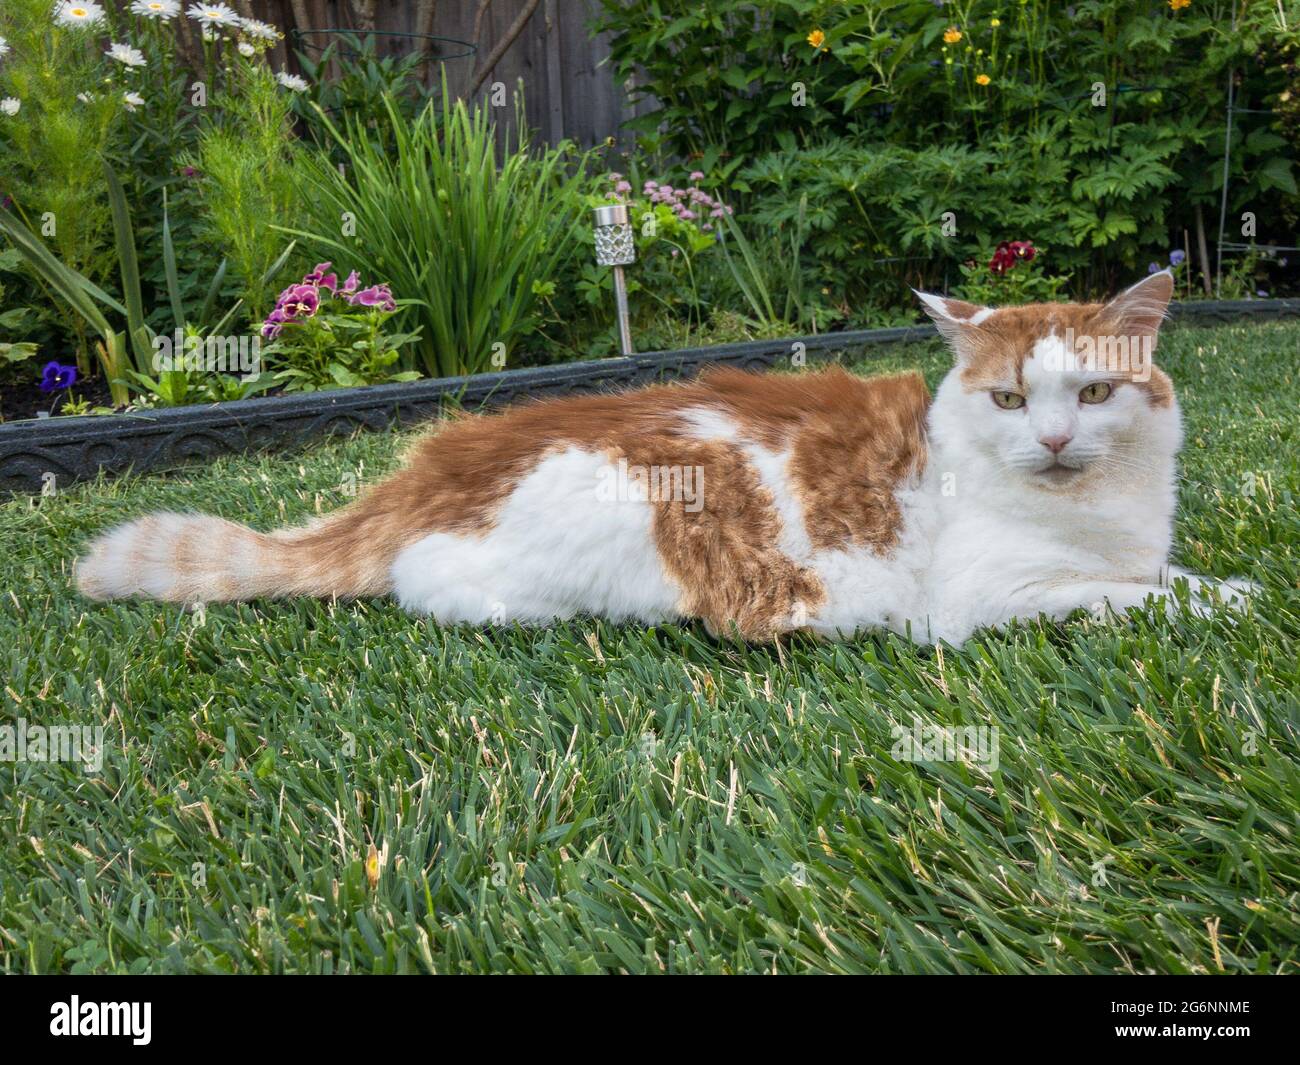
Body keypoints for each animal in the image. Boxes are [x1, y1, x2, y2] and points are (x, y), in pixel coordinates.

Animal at [73, 270, 1248, 644]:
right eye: (1009, 398)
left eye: (1092, 393)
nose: (1051, 438)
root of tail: (437, 461)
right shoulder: (986, 598)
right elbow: (1122, 596)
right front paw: (1225, 604)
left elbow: (1170, 575)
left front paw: (1224, 584)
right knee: (427, 581)